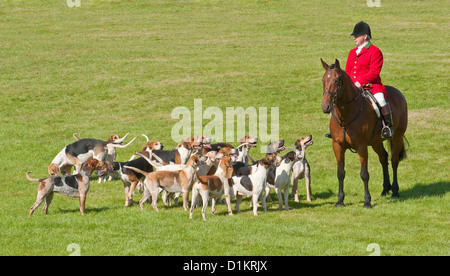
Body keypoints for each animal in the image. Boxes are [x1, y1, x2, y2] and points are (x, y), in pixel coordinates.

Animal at [320, 59, 408, 208]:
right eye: (323, 80)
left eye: (337, 81)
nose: (325, 107)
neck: (346, 115)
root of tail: (398, 93)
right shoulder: (337, 146)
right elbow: (340, 173)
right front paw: (340, 200)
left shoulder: (361, 147)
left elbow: (364, 174)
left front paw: (367, 201)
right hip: (376, 142)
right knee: (383, 158)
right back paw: (385, 189)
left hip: (397, 137)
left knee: (394, 161)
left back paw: (395, 191)